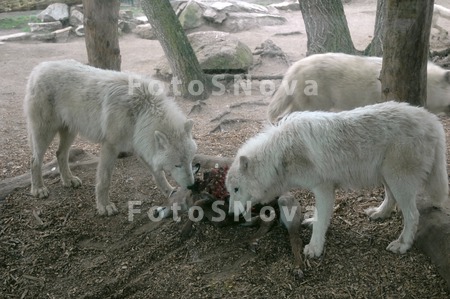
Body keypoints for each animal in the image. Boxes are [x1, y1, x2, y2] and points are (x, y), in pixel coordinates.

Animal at [24, 59, 197, 217]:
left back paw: (68, 180)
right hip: (44, 134)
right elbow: (104, 180)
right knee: (34, 161)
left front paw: (170, 191)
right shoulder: (110, 146)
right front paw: (104, 206)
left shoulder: (140, 146)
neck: (140, 112)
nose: (191, 186)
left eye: (189, 161)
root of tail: (38, 68)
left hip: (70, 132)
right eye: (177, 165)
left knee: (60, 154)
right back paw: (38, 189)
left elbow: (158, 175)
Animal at [227, 102, 448, 258]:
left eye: (236, 189)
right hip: (387, 177)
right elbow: (319, 218)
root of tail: (431, 119)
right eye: (229, 191)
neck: (281, 155)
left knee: (413, 215)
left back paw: (402, 244)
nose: (229, 214)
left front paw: (314, 248)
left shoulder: (323, 188)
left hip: (398, 181)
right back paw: (379, 213)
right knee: (390, 199)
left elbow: (321, 220)